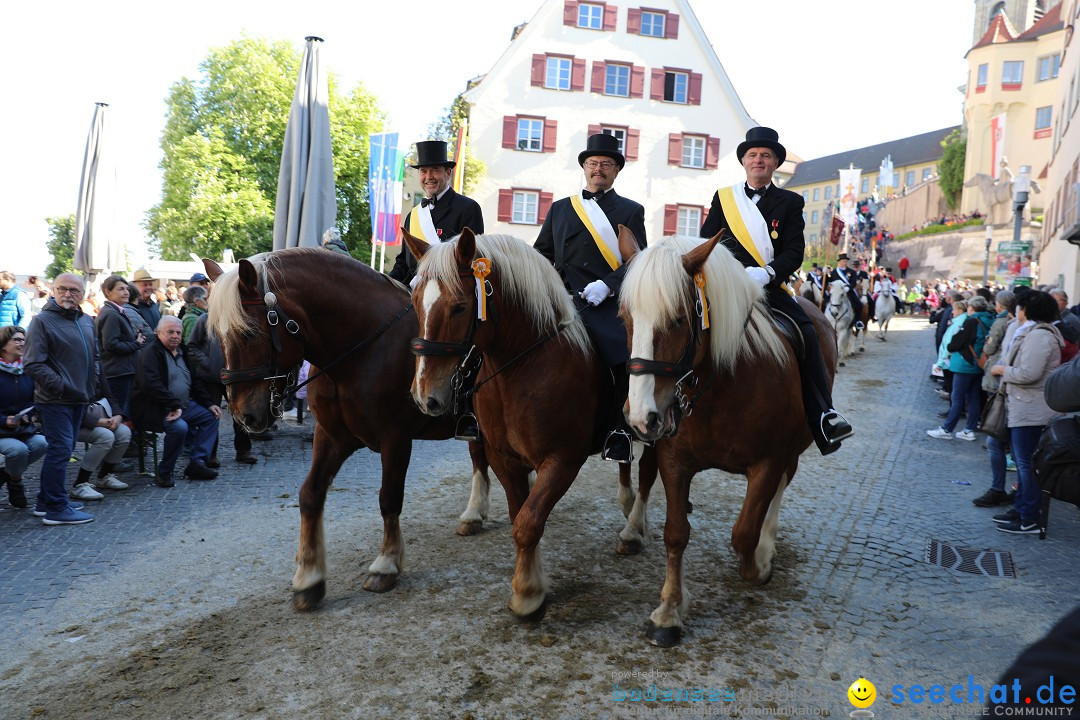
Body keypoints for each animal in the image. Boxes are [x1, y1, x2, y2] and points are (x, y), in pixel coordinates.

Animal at [204, 250, 492, 613]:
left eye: (250, 332)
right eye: (217, 336)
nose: (244, 415)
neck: (363, 348)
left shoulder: (396, 440)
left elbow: (389, 498)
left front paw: (386, 564)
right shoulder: (332, 437)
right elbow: (310, 494)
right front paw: (309, 577)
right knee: (480, 457)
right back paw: (474, 514)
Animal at [406, 229, 656, 621]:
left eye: (460, 306)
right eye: (415, 301)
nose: (424, 396)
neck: (521, 368)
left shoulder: (562, 460)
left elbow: (528, 523)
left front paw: (527, 594)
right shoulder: (504, 459)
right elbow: (520, 517)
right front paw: (529, 582)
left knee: (648, 473)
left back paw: (633, 530)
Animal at [617, 232, 833, 647]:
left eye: (678, 319)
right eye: (626, 318)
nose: (641, 417)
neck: (720, 388)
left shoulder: (768, 461)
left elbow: (744, 534)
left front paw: (759, 563)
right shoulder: (674, 461)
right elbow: (675, 534)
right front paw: (669, 611)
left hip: (794, 449)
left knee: (780, 490)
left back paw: (768, 542)